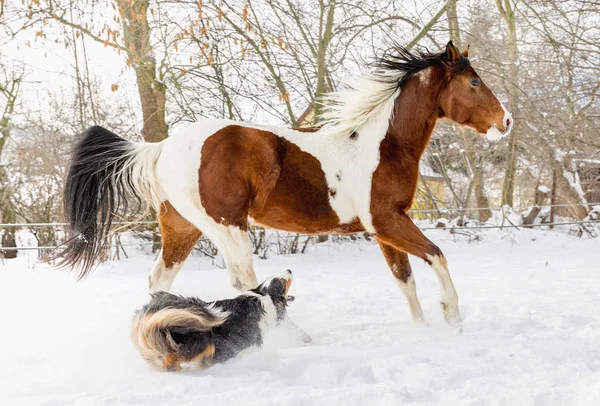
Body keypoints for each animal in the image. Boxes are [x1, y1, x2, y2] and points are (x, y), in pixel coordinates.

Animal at [57, 41, 510, 326]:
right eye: (474, 82)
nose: (505, 121)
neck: (381, 143)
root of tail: (162, 147)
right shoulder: (388, 221)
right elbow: (437, 256)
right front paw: (452, 316)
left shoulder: (383, 229)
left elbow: (406, 280)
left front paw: (422, 329)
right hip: (228, 226)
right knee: (244, 281)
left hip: (182, 230)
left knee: (159, 281)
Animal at [131, 270, 304, 372]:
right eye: (282, 281)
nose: (289, 270)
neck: (264, 297)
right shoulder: (238, 349)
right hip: (201, 339)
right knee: (171, 360)